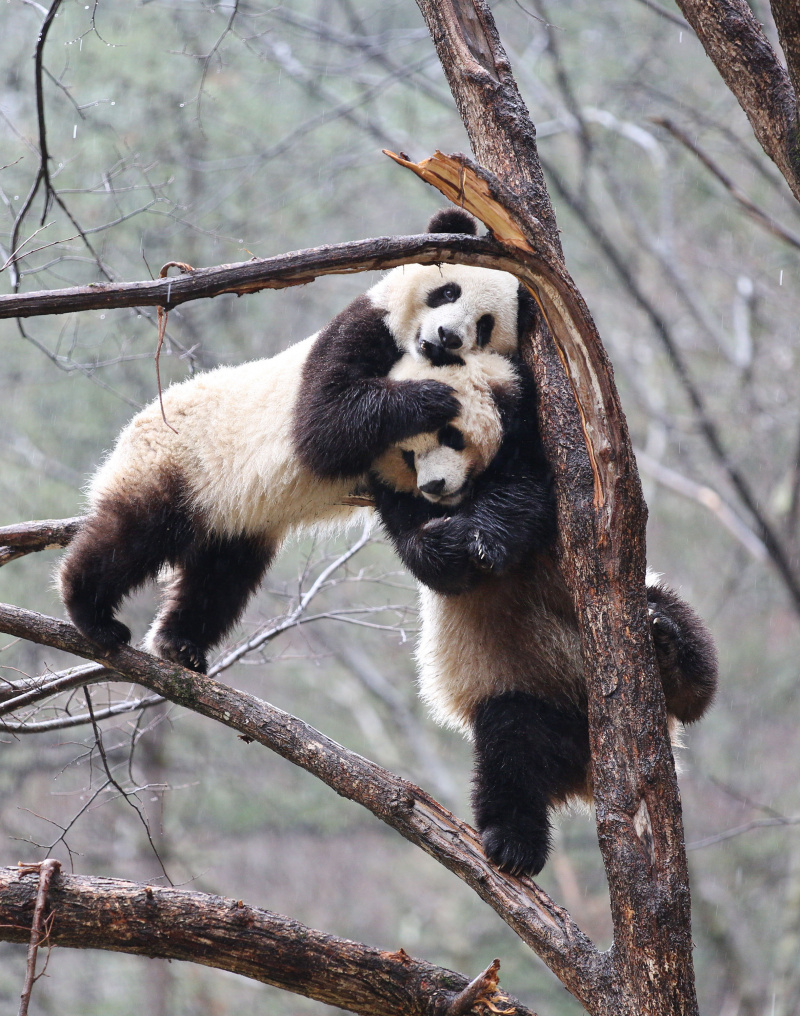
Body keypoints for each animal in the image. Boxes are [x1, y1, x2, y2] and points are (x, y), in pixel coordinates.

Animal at [59, 209, 533, 674]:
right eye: (447, 292)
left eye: (485, 326)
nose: (446, 338)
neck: (406, 351)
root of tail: (138, 423)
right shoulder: (361, 328)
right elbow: (324, 424)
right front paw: (432, 397)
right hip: (177, 459)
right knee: (133, 534)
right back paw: (92, 615)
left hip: (234, 516)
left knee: (219, 576)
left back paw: (180, 644)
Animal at [374, 330, 718, 879]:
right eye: (407, 455)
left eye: (451, 436)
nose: (436, 485)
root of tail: (586, 769)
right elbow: (424, 548)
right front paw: (454, 542)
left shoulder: (533, 434)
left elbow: (527, 484)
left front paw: (486, 536)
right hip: (525, 692)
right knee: (511, 750)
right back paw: (514, 844)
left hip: (641, 601)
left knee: (685, 645)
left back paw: (670, 649)